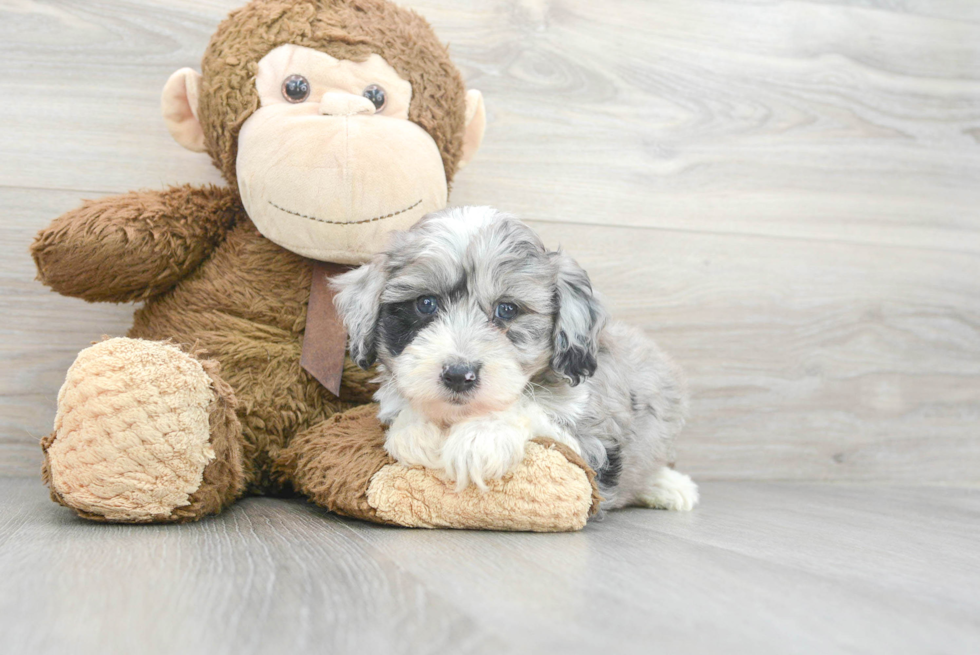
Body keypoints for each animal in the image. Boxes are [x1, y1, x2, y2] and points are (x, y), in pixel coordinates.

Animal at [334, 206, 696, 512]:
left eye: (507, 309)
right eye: (425, 303)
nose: (459, 375)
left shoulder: (592, 450)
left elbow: (530, 410)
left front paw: (481, 436)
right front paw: (415, 431)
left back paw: (670, 486)